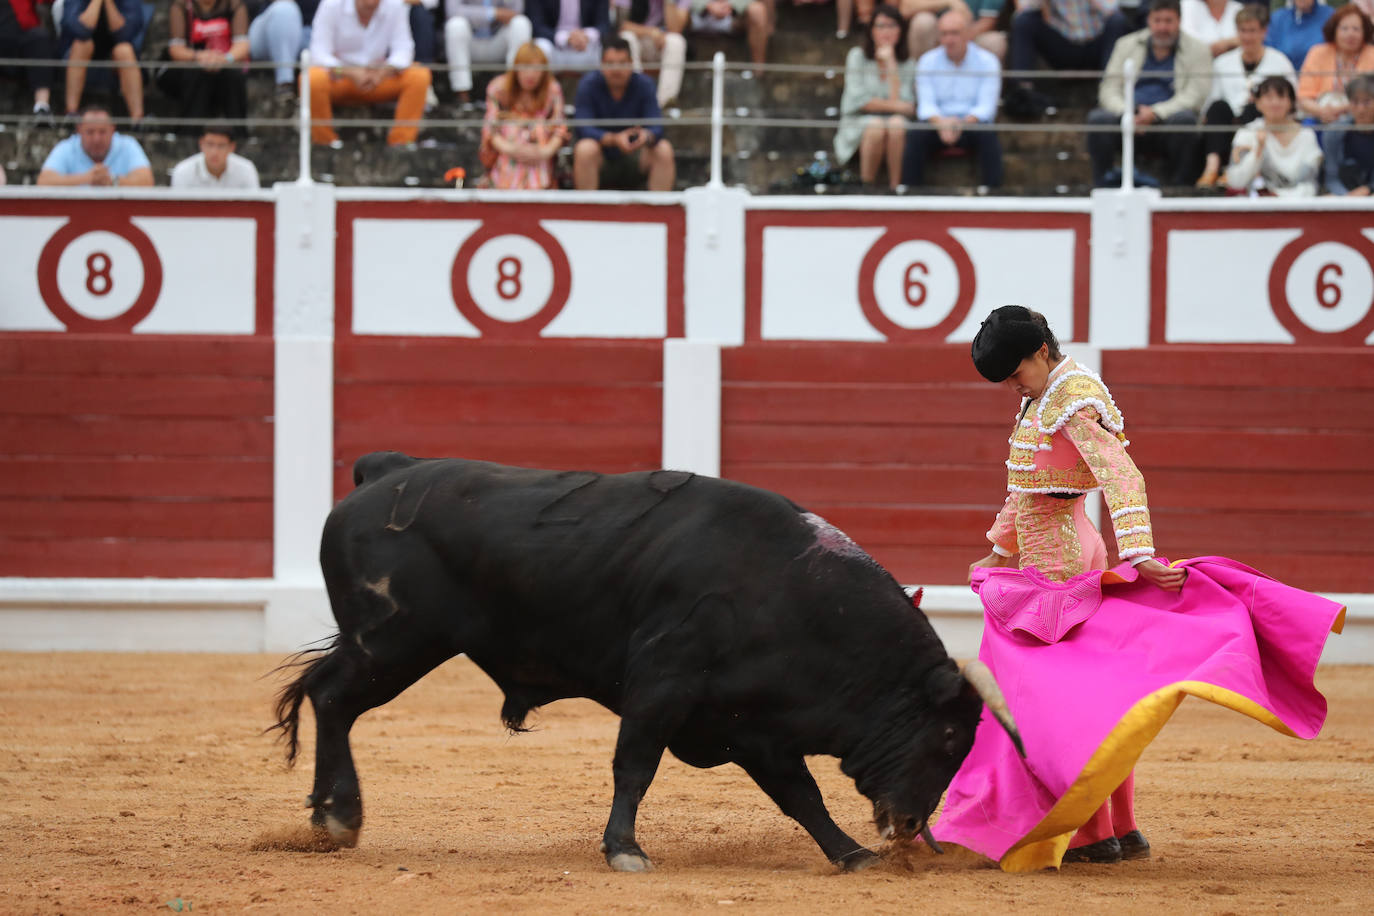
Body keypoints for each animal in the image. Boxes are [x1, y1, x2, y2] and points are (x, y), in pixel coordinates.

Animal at [270, 455, 1022, 873]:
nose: (910, 827)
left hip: (394, 644)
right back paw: (340, 816)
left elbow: (800, 795)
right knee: (332, 697)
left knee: (326, 696)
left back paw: (330, 817)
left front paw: (849, 855)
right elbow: (635, 766)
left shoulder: (758, 727)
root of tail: (388, 472)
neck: (790, 594)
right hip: (395, 642)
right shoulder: (662, 686)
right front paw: (624, 850)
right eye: (948, 737)